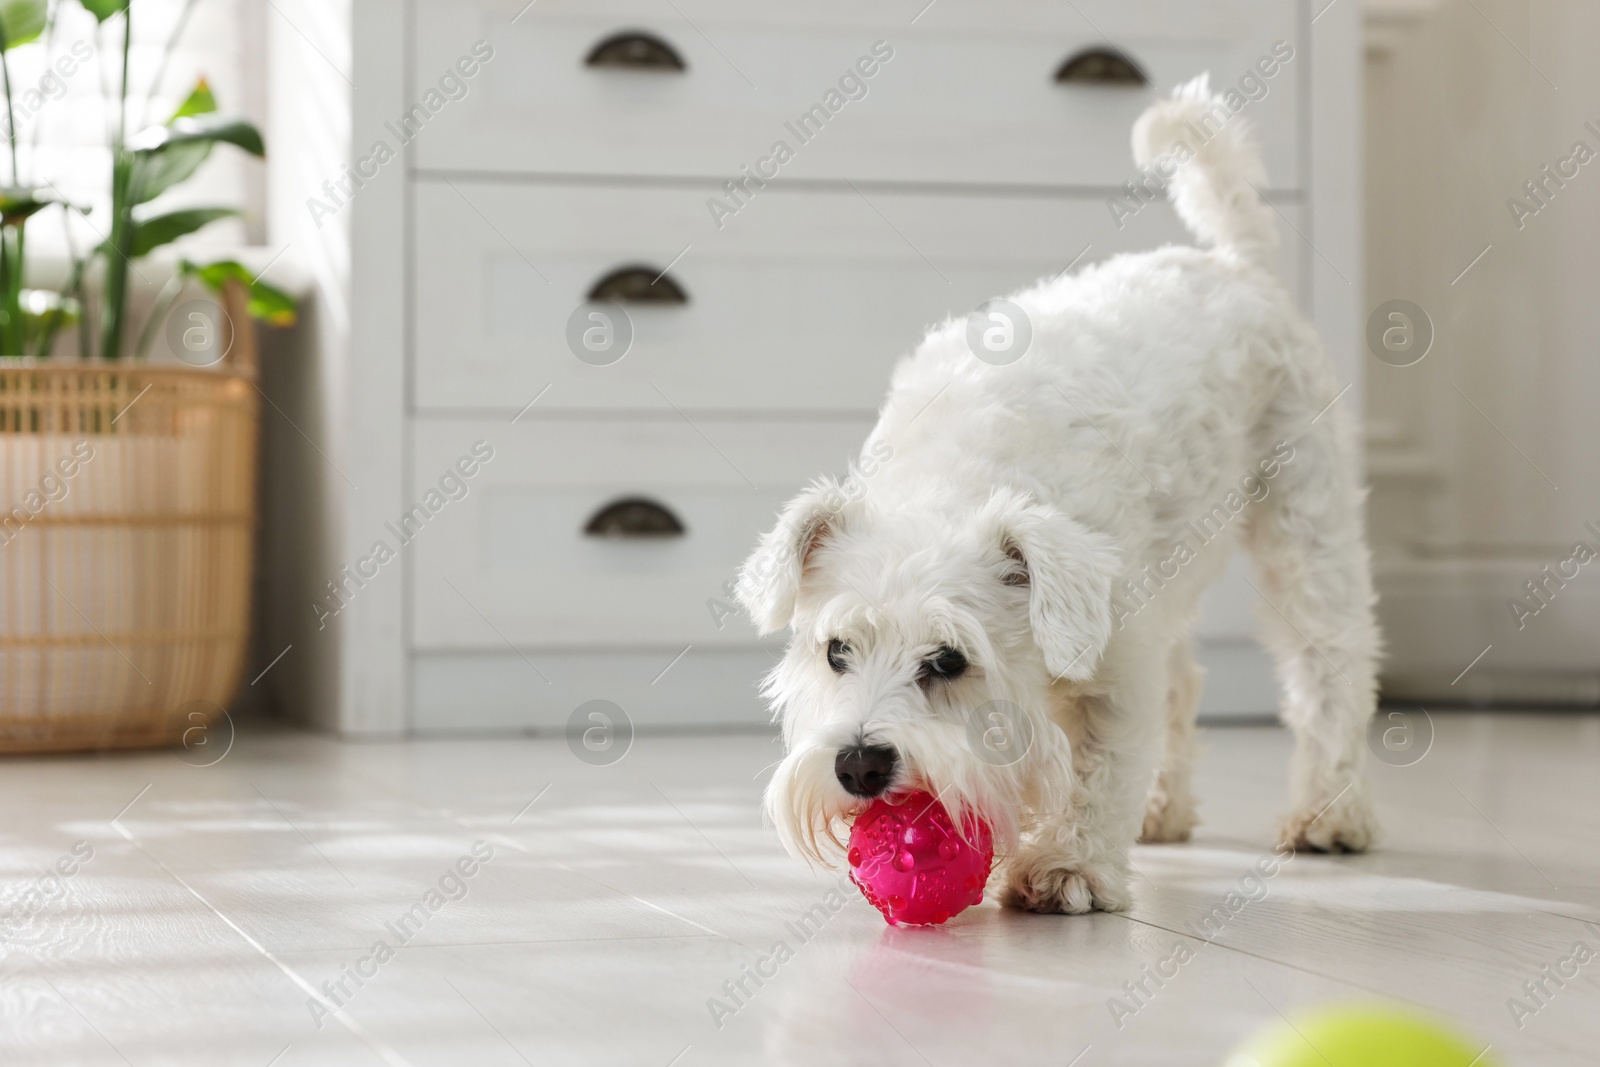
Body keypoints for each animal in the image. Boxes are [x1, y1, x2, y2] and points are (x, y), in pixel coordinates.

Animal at [732, 81, 1376, 921]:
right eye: (836, 650)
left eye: (948, 659)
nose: (860, 765)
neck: (954, 478)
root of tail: (1238, 262)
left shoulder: (1115, 659)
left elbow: (1101, 765)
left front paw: (1068, 867)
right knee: (1186, 680)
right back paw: (1165, 810)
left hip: (1306, 525)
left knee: (1329, 662)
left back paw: (1329, 813)